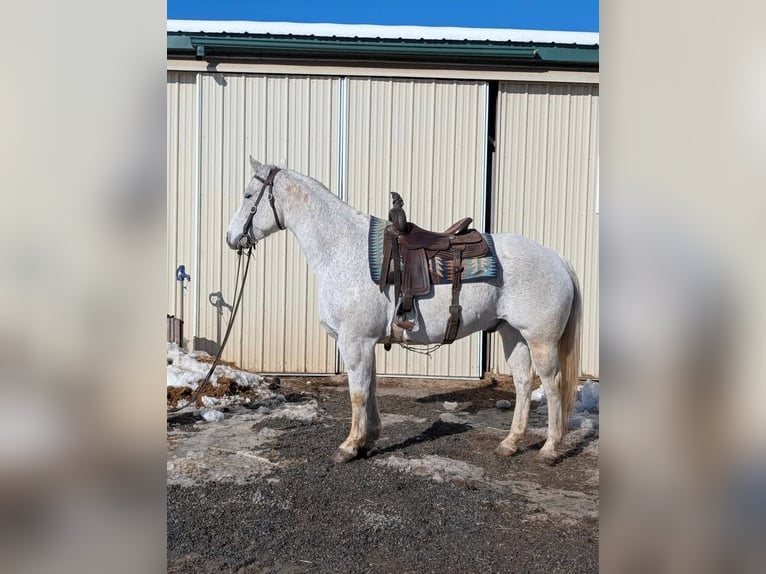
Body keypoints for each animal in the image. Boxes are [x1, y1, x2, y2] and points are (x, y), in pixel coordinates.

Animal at [226, 157, 582, 465]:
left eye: (248, 195)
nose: (232, 238)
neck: (342, 249)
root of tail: (557, 259)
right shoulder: (366, 342)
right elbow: (369, 389)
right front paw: (368, 439)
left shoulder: (354, 341)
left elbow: (357, 393)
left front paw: (349, 446)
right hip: (513, 333)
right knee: (522, 383)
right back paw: (510, 443)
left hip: (541, 339)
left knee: (552, 384)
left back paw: (550, 448)